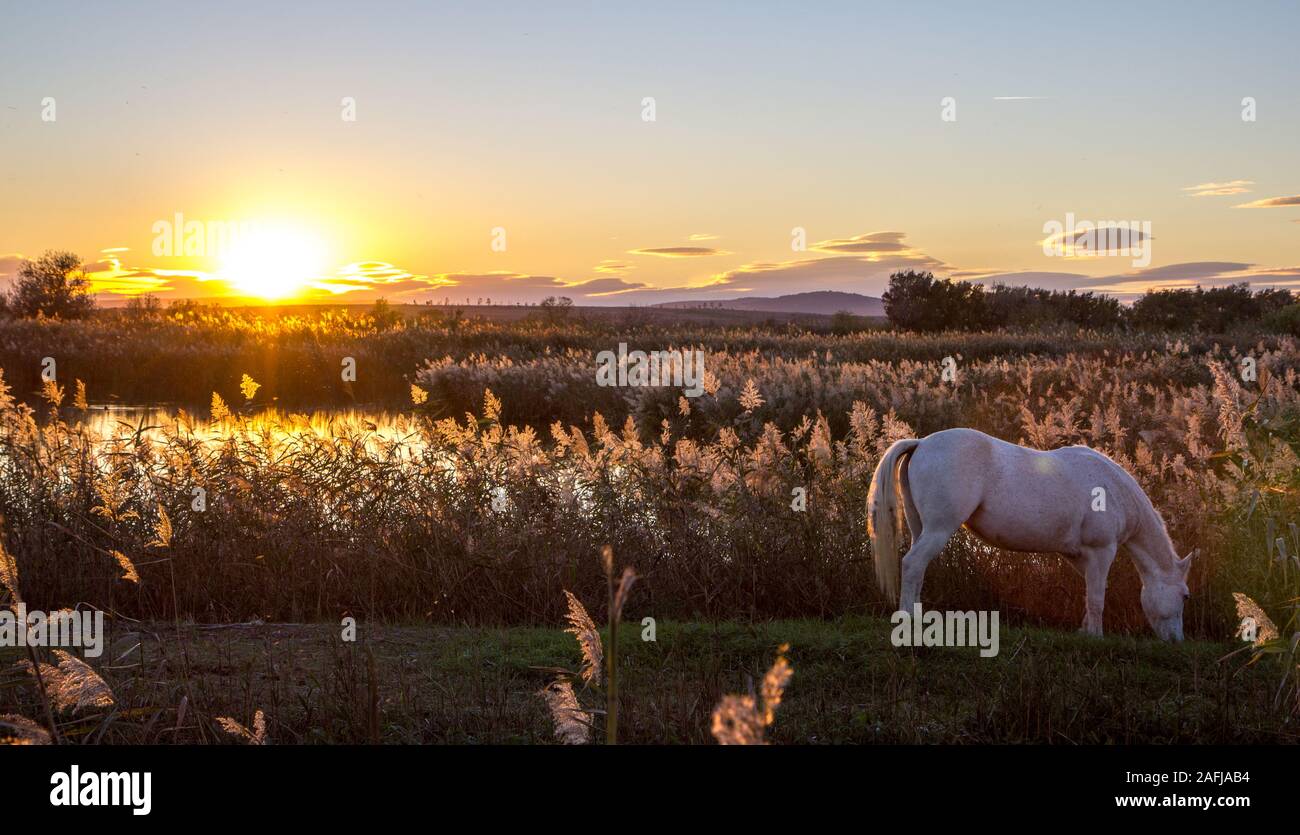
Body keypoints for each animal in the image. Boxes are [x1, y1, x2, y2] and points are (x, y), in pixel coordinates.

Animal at [868, 426, 1190, 639]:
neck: (1112, 488)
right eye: (1185, 595)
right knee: (913, 564)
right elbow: (1098, 596)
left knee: (917, 566)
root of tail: (921, 443)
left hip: (920, 527)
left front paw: (1084, 630)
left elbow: (1089, 592)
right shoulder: (1102, 550)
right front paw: (1095, 637)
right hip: (939, 529)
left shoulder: (1079, 555)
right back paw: (908, 618)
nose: (1176, 641)